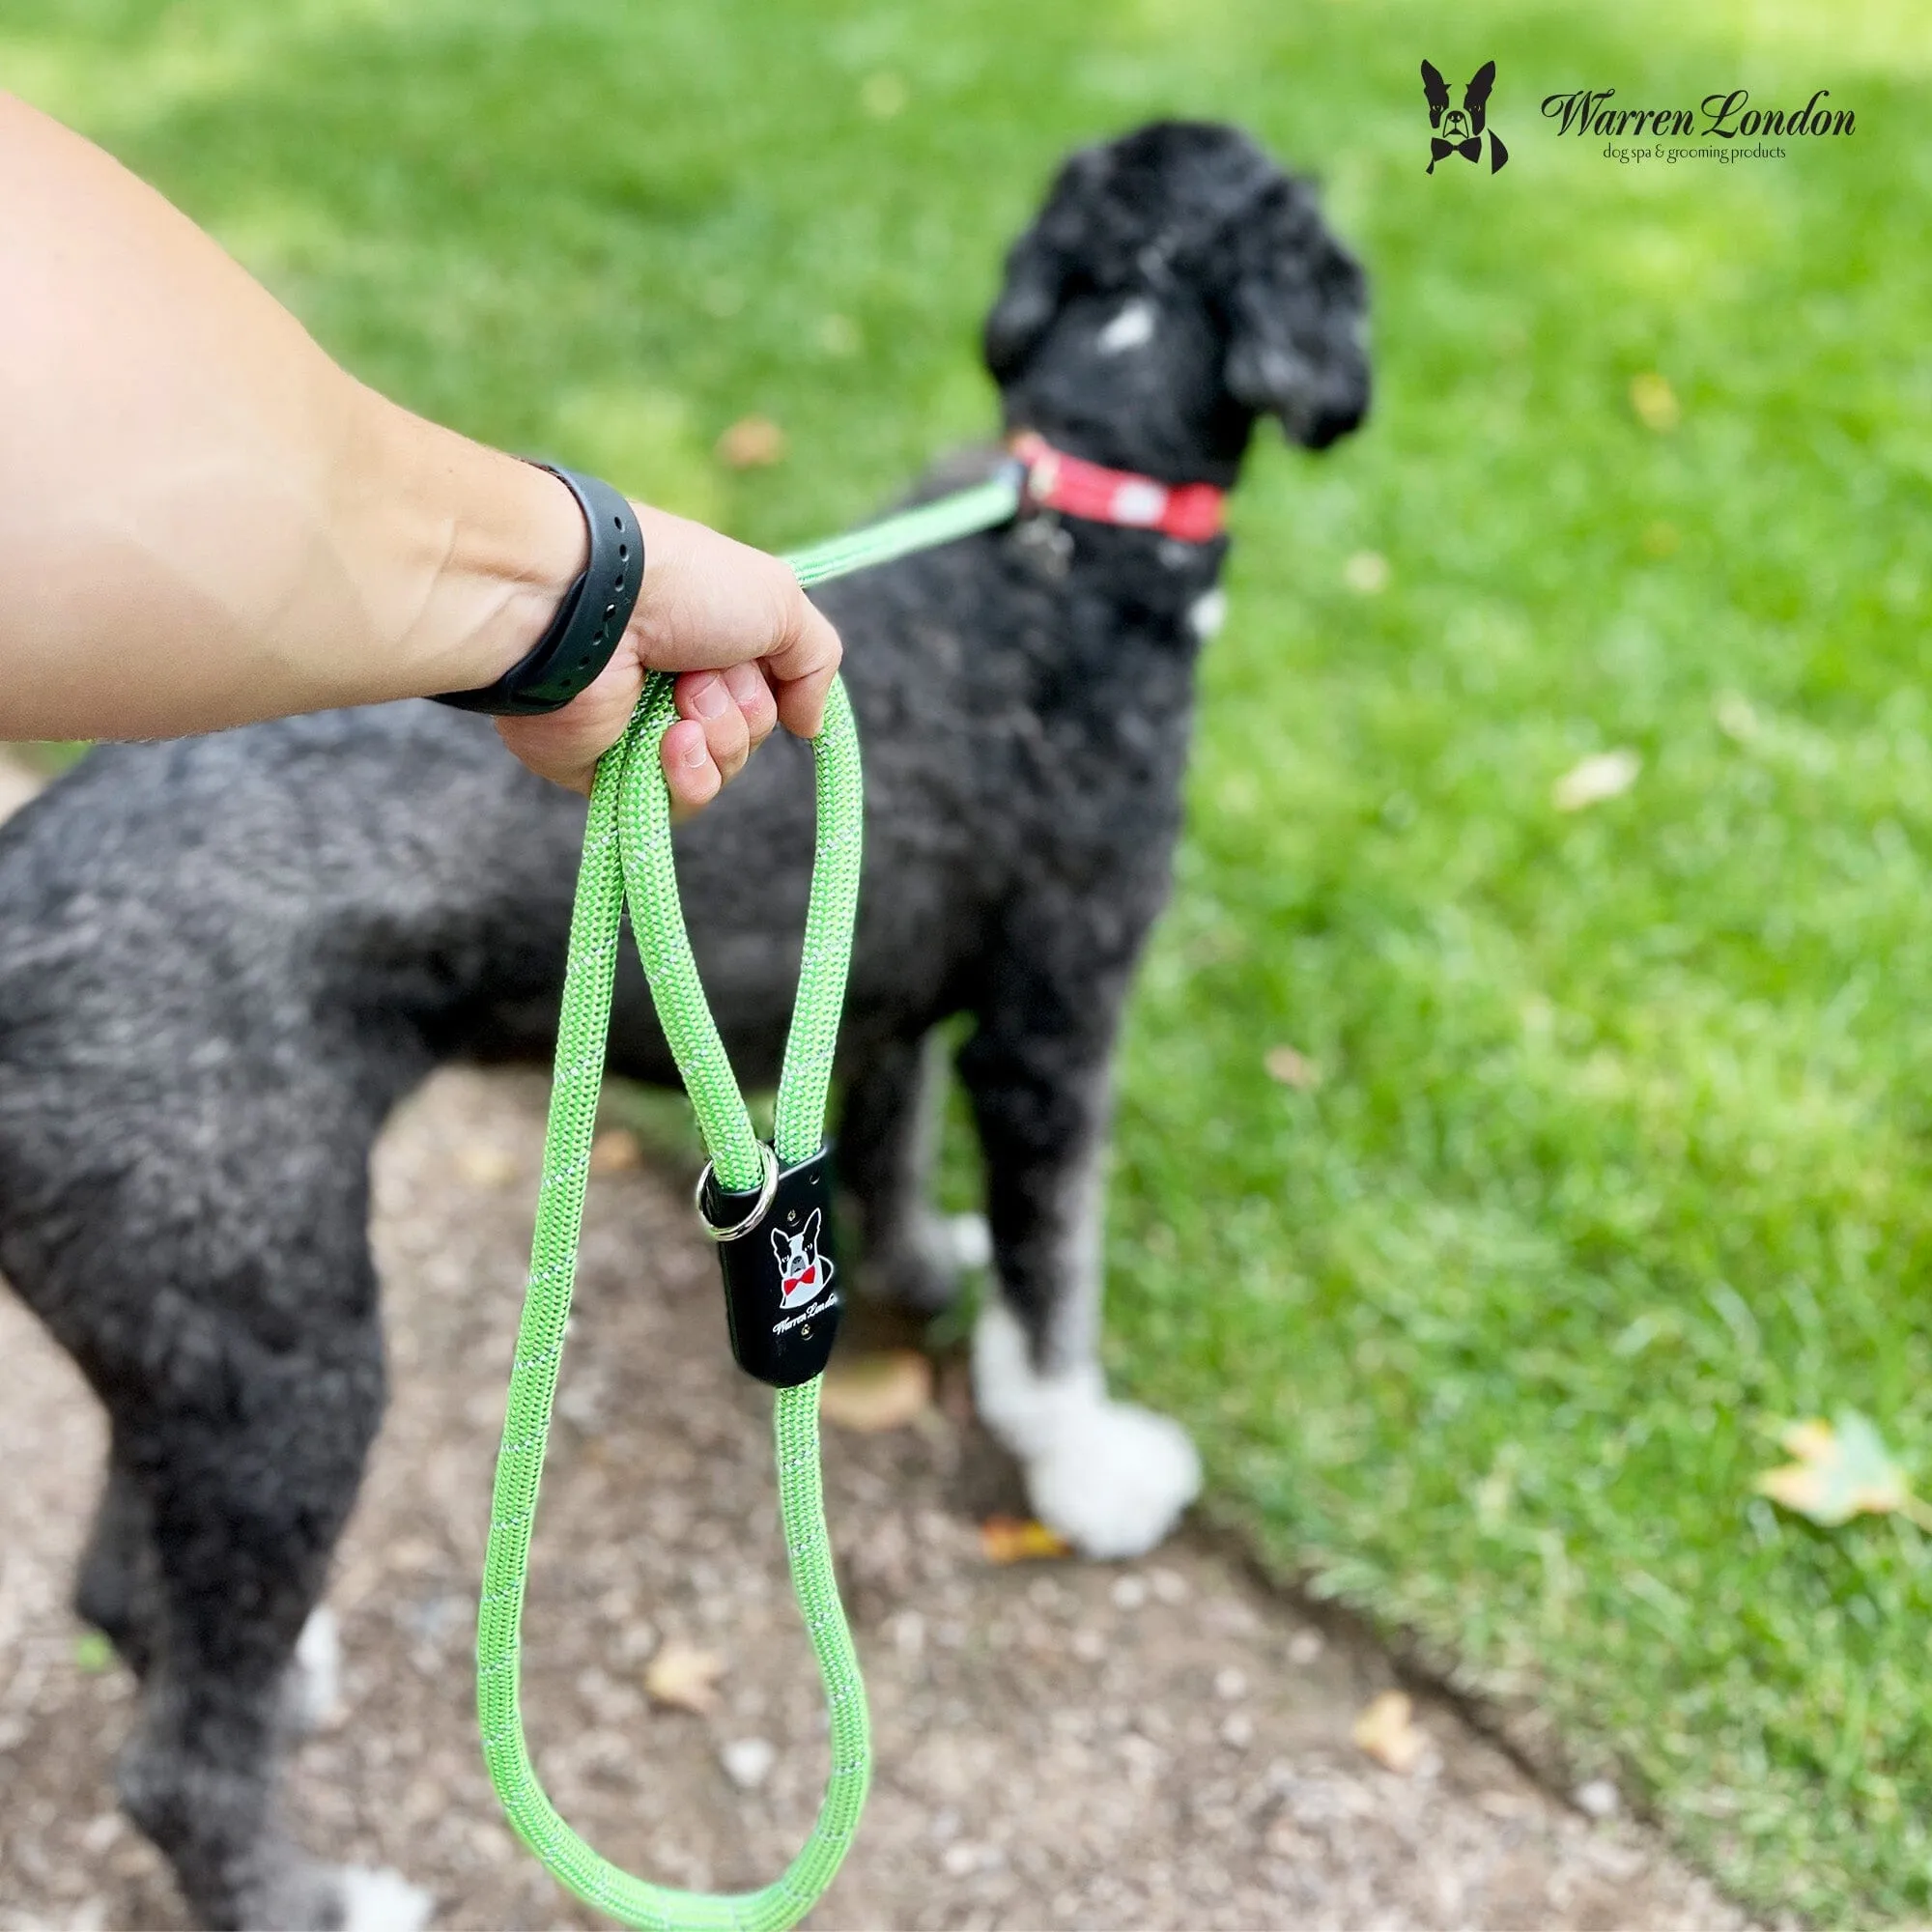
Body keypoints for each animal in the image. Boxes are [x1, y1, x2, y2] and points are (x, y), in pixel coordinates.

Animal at [0, 125, 1368, 1932]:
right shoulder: (1057, 1010)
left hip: (185, 1339)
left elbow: (896, 1154)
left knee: (124, 1588)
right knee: (170, 1760)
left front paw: (920, 1275)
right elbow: (1059, 1260)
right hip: (280, 1358)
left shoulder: (877, 996)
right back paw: (313, 1893)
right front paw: (1087, 1465)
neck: (1067, 544)